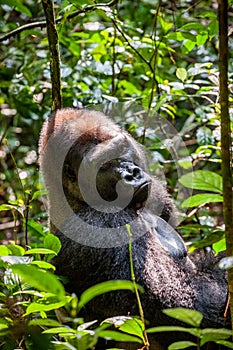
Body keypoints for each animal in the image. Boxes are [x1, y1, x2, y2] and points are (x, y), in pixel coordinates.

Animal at [39, 108, 228, 348]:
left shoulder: (156, 195)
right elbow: (186, 307)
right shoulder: (103, 227)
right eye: (102, 165)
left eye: (121, 150)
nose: (132, 173)